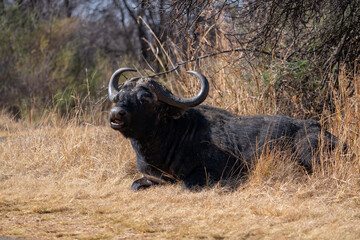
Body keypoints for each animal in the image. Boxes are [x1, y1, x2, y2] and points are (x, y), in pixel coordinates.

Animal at [108, 68, 338, 191]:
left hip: (308, 152)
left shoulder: (210, 172)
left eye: (145, 98)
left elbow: (185, 185)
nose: (116, 114)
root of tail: (322, 129)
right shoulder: (153, 177)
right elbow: (135, 184)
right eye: (120, 97)